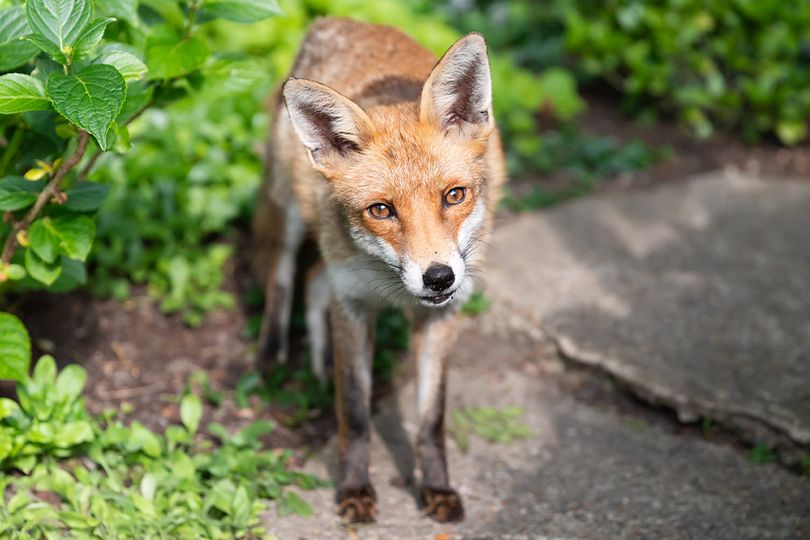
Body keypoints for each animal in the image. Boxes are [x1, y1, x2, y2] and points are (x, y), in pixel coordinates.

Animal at [252, 17, 506, 523]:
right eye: (382, 210)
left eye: (454, 195)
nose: (439, 277)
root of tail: (331, 21)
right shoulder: (352, 304)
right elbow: (355, 411)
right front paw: (354, 490)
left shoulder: (440, 317)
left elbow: (431, 419)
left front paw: (437, 488)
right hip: (290, 212)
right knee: (283, 274)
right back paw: (272, 351)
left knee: (312, 283)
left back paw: (319, 364)